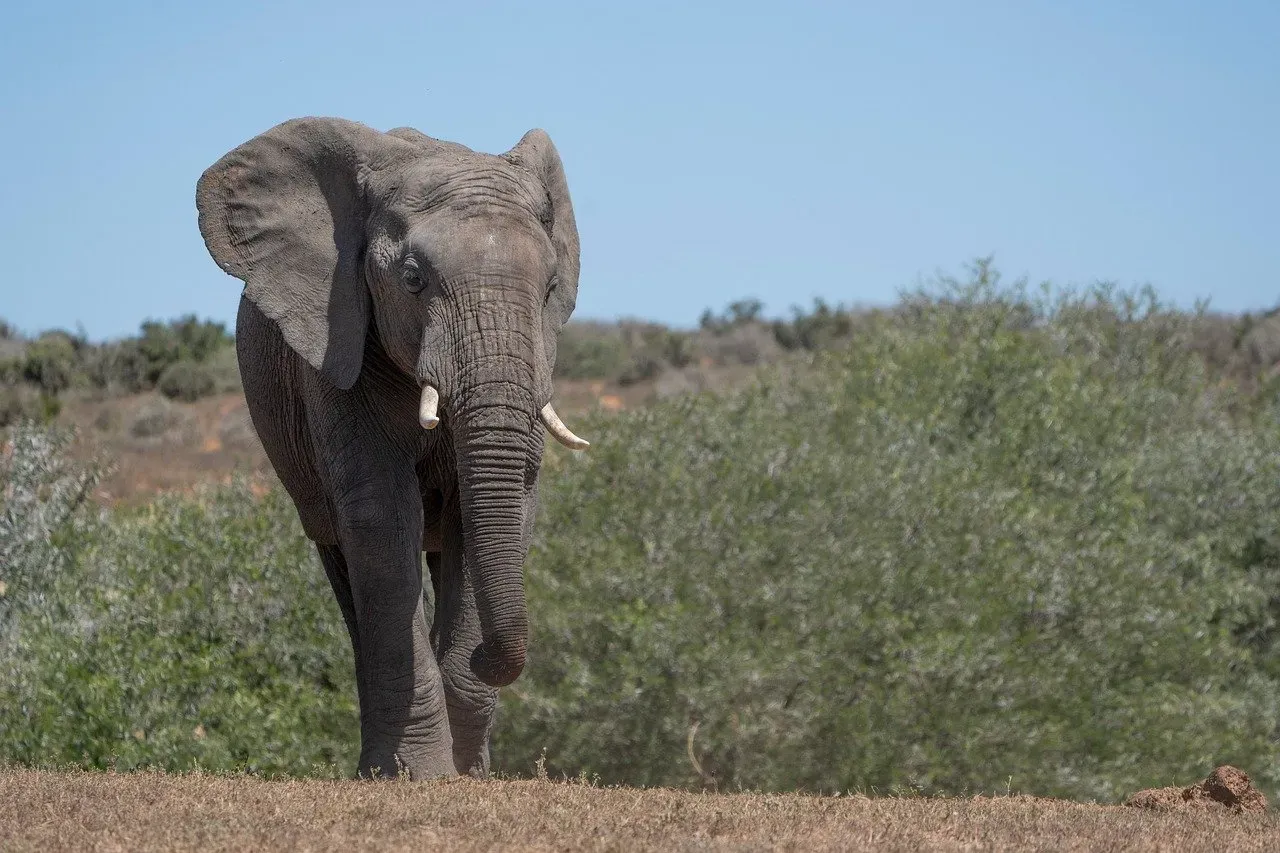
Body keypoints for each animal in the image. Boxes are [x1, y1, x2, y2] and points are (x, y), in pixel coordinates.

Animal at [195, 117, 590, 779]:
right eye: (411, 279)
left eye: (551, 287)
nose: (486, 657)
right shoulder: (338, 343)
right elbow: (381, 516)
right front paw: (421, 776)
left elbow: (489, 509)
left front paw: (469, 773)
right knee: (344, 563)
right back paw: (377, 766)